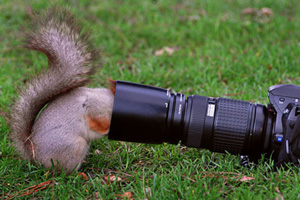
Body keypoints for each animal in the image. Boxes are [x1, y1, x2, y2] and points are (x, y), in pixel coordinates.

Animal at [9, 7, 115, 173]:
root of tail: (35, 157)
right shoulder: (95, 107)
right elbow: (96, 121)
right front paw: (106, 129)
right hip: (74, 147)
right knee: (65, 171)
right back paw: (80, 174)